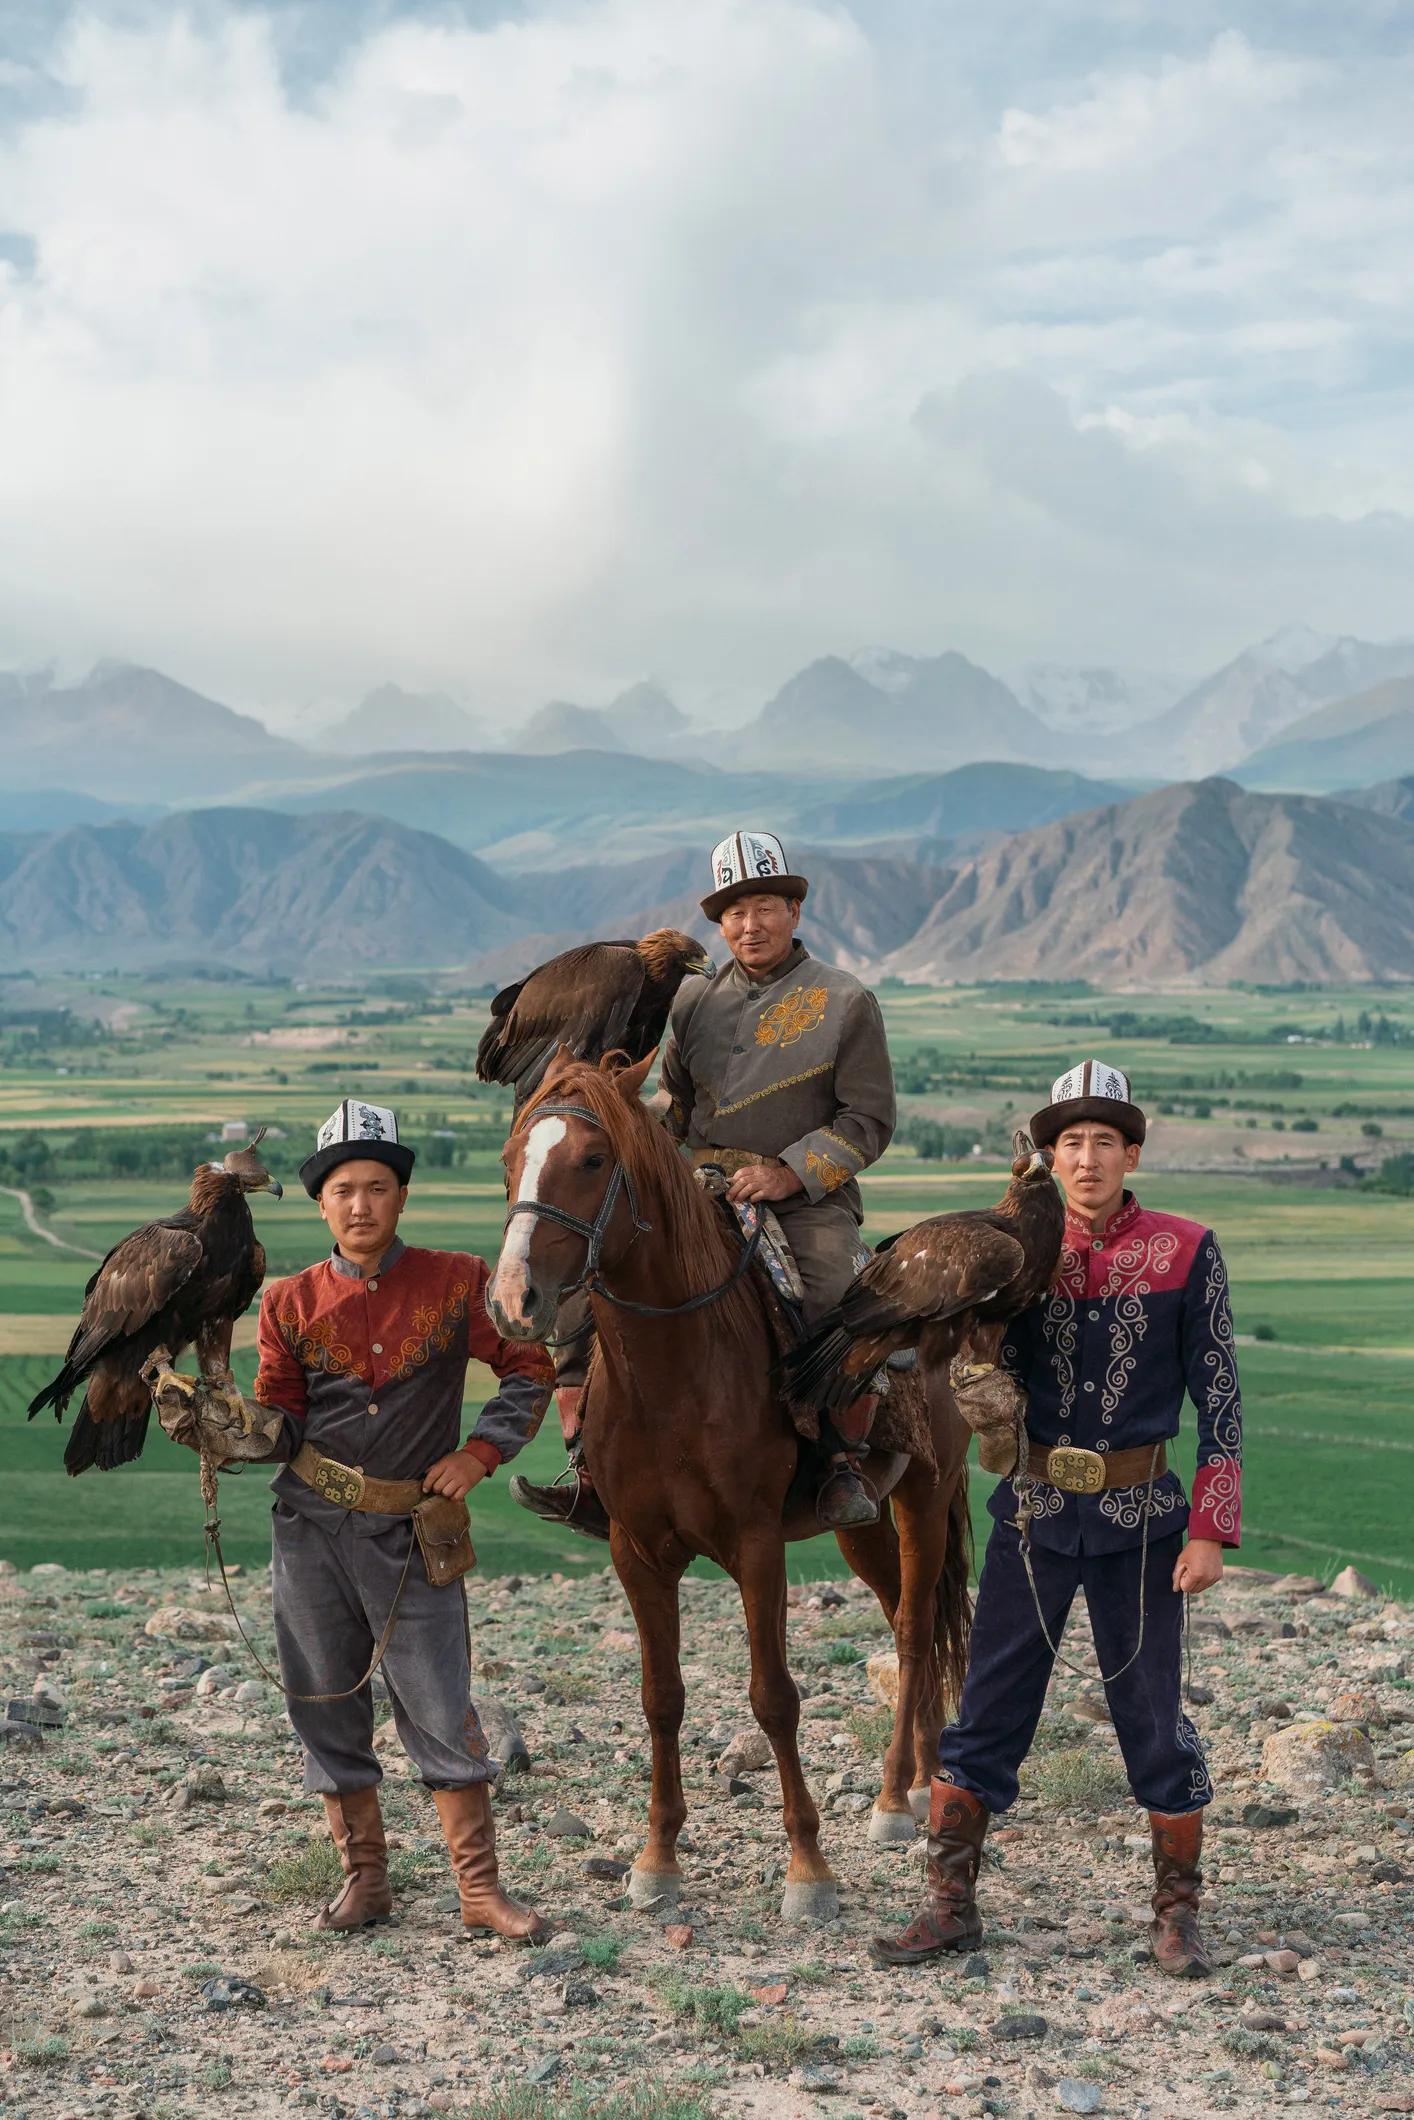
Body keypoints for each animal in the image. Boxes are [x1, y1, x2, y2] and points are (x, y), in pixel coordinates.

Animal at [487, 1050, 972, 1923]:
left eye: (593, 1159)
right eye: (512, 1159)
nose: (514, 1300)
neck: (674, 1371)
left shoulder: (755, 1547)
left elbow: (774, 1696)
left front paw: (809, 1869)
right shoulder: (635, 1551)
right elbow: (662, 1697)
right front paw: (656, 1860)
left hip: (925, 1495)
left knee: (917, 1630)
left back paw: (893, 1799)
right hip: (859, 1523)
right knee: (895, 1615)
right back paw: (919, 1781)